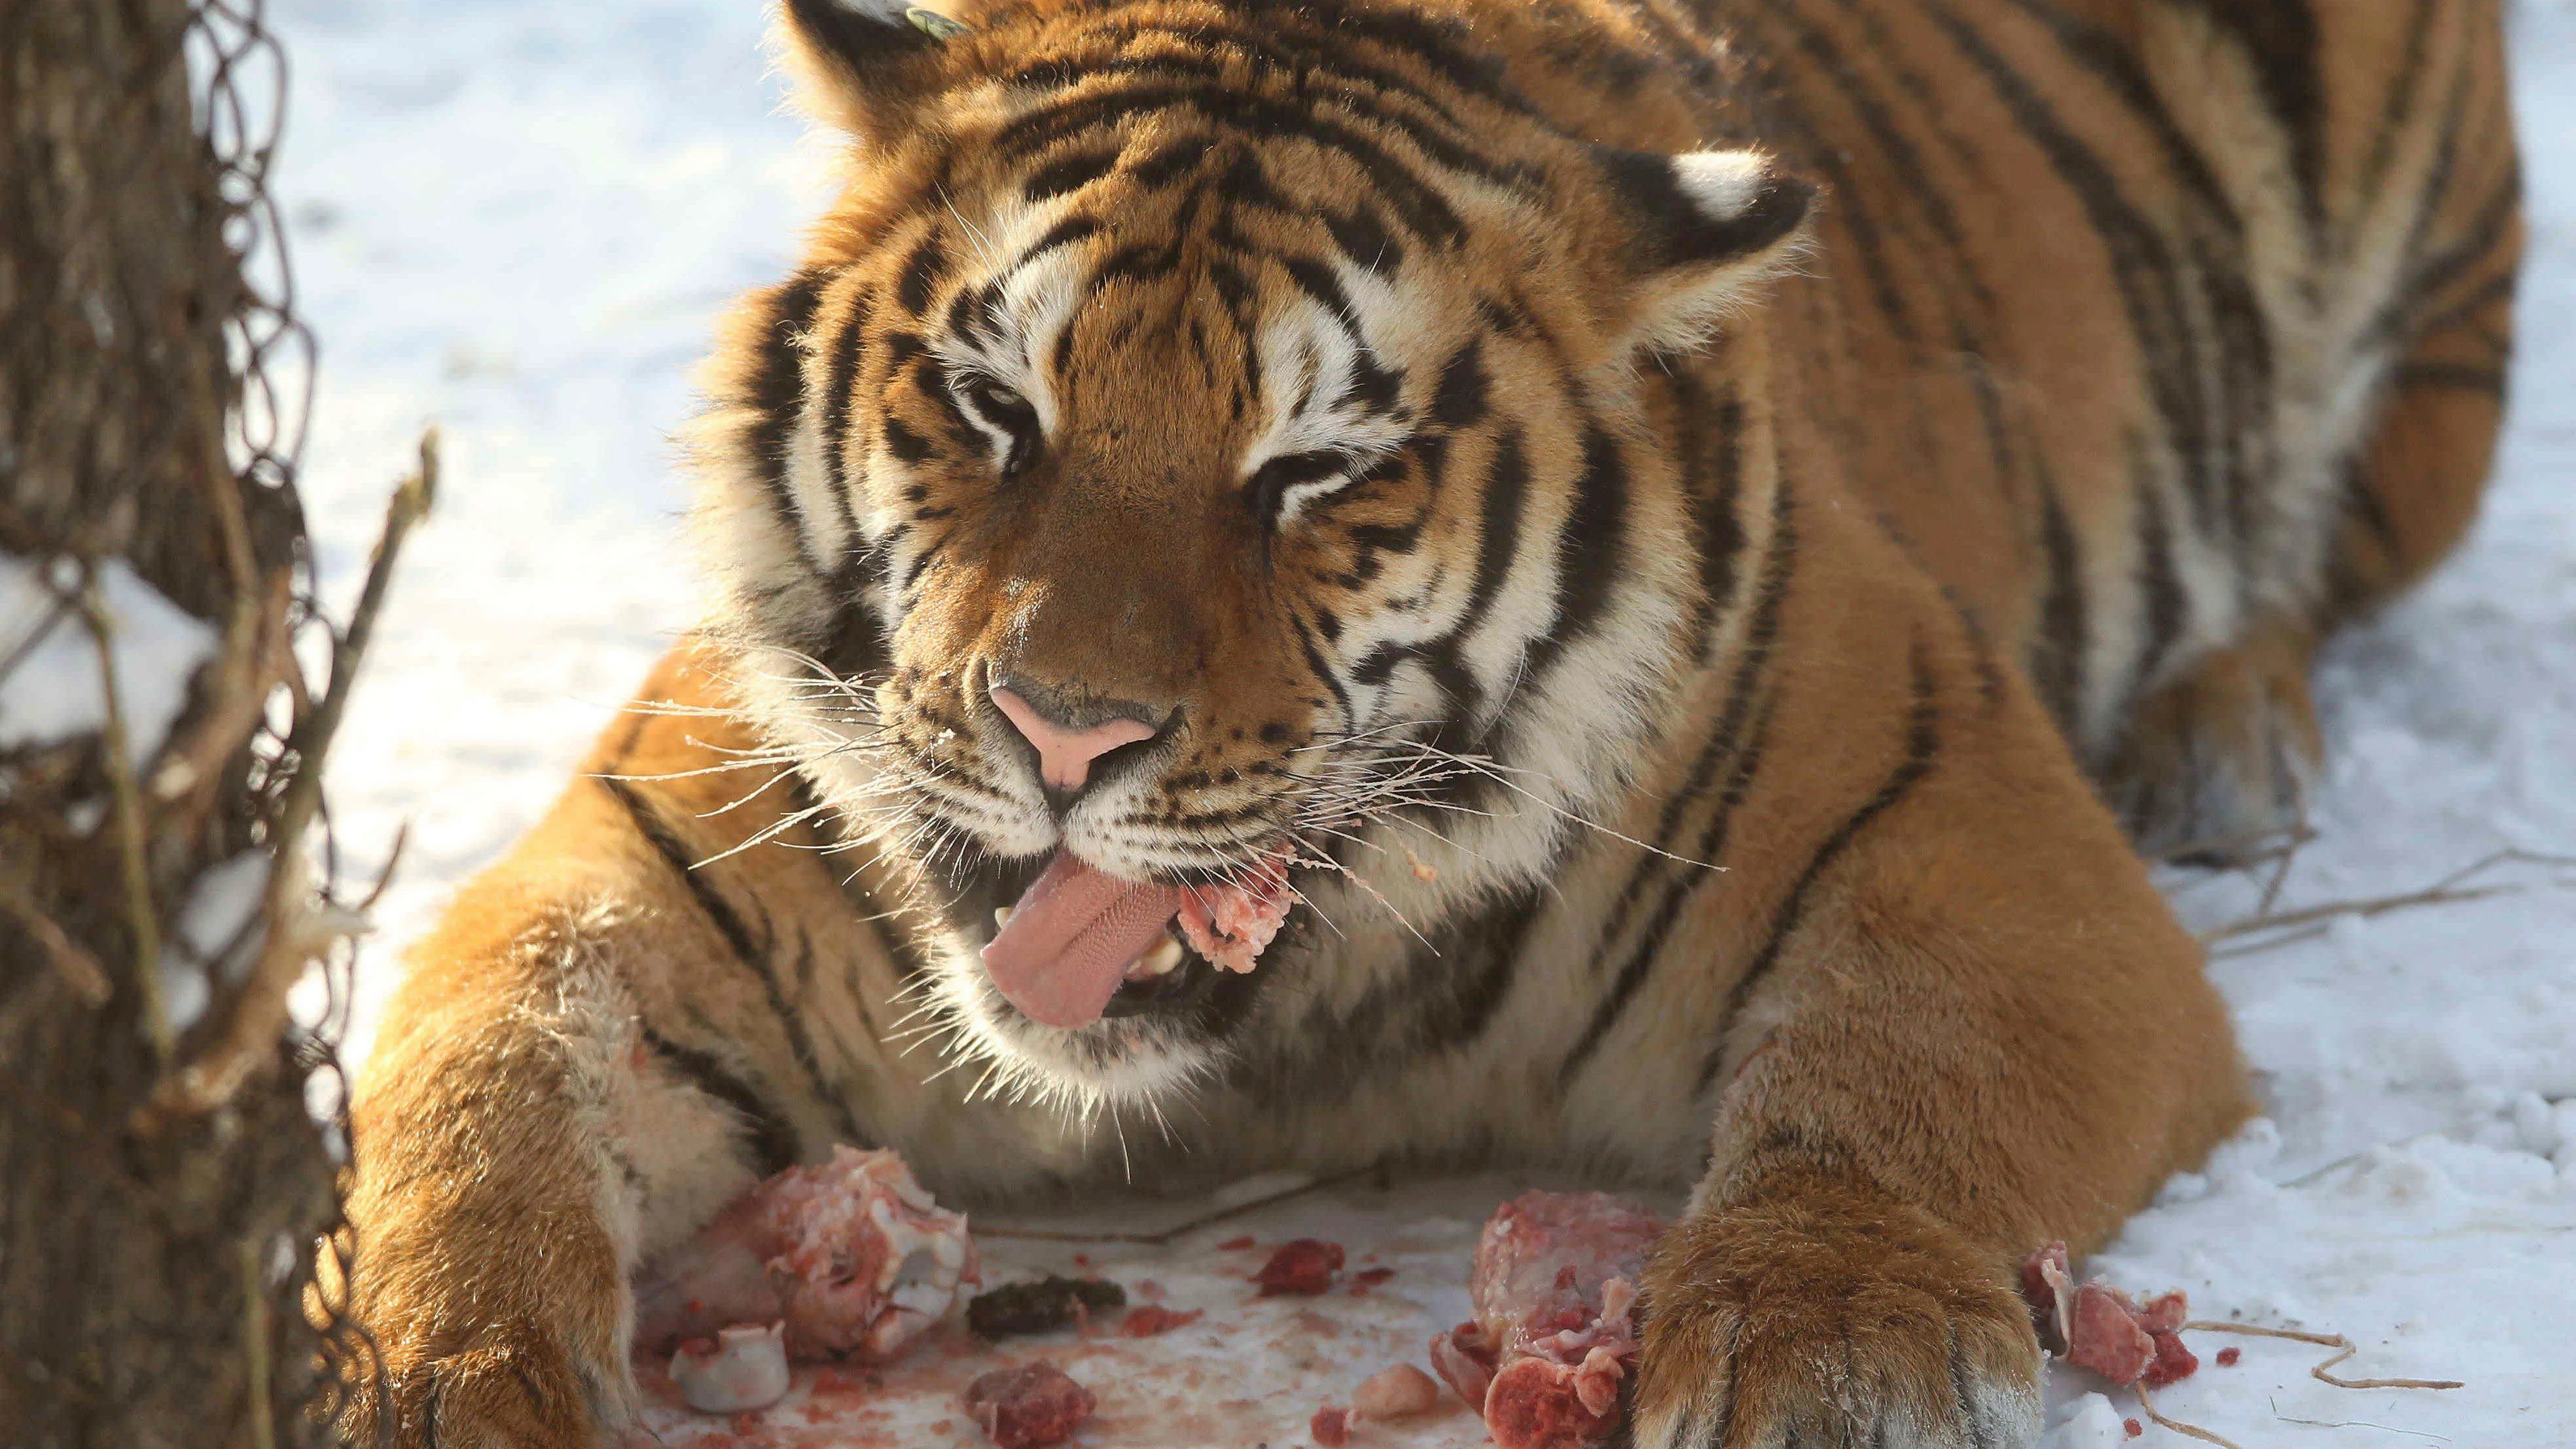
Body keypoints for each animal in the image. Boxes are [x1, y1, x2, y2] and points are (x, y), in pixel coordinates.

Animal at [322, 0, 2514, 1433]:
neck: (1290, 1023)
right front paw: (428, 1379)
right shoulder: (658, 861)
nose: (1060, 734)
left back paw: (2226, 731)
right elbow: (478, 1098)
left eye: (1314, 470)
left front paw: (1828, 1356)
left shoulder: (1968, 842)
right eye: (994, 406)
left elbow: (1897, 1088)